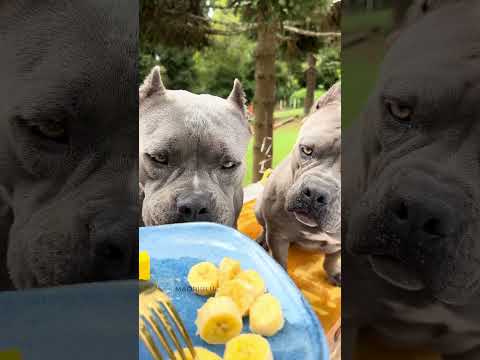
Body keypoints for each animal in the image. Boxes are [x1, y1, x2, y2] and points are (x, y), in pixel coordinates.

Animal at [255, 83, 342, 282]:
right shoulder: (278, 235)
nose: (316, 192)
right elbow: (279, 262)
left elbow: (333, 257)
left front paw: (334, 272)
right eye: (307, 150)